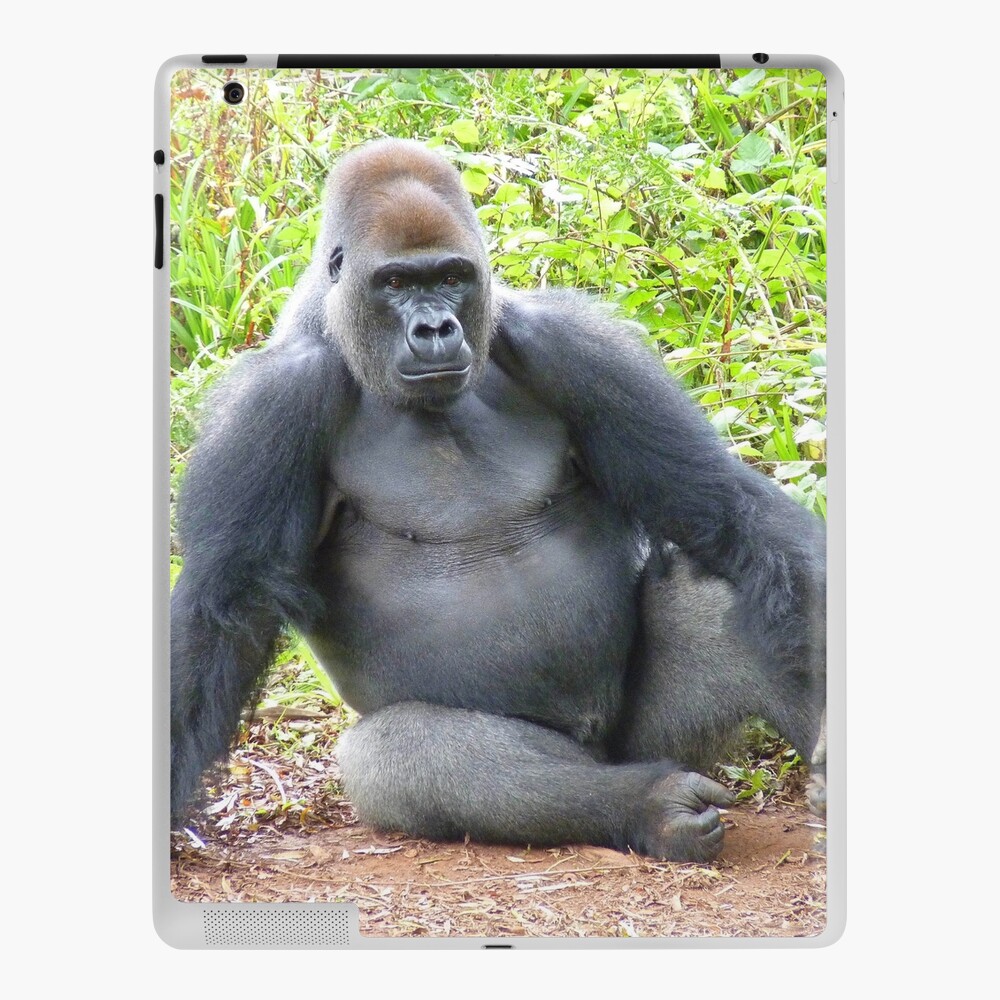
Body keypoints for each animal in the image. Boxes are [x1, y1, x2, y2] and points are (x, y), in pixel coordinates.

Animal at [172, 137, 828, 864]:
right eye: (394, 284)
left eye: (452, 276)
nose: (435, 328)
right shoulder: (271, 404)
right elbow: (224, 610)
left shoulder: (576, 347)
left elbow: (721, 507)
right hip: (594, 760)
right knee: (402, 753)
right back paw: (649, 807)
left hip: (647, 737)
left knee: (720, 586)